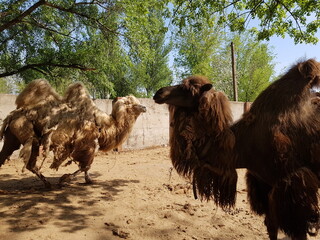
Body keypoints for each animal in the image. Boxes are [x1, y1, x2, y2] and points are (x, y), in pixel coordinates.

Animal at [0, 79, 147, 188]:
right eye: (130, 103)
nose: (144, 107)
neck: (106, 126)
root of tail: (12, 115)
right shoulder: (88, 144)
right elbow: (86, 165)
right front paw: (64, 179)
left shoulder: (87, 145)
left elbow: (86, 166)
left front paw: (88, 180)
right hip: (29, 136)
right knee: (30, 163)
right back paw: (47, 184)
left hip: (12, 138)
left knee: (14, 157)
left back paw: (46, 183)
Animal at [152, 58, 320, 240]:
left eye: (187, 89)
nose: (159, 92)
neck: (242, 147)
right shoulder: (263, 183)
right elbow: (272, 227)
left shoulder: (294, 184)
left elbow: (297, 232)